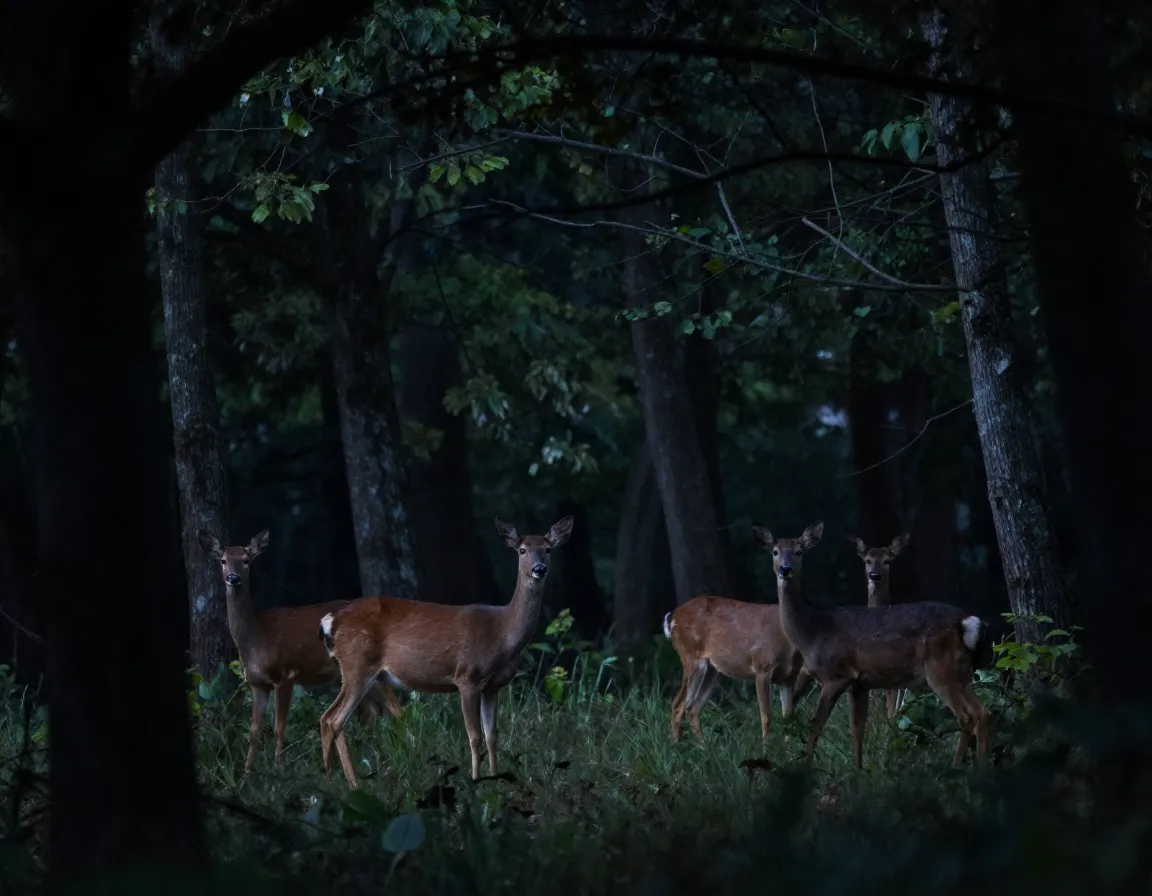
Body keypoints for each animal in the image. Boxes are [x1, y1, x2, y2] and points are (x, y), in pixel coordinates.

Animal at [198, 529, 402, 772]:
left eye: (246, 560)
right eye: (223, 560)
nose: (233, 578)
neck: (257, 636)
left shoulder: (286, 673)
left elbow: (279, 726)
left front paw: (279, 767)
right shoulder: (257, 683)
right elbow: (254, 730)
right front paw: (247, 773)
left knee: (394, 706)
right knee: (372, 711)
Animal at [318, 515, 574, 787]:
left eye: (548, 549)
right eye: (522, 550)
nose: (539, 569)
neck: (502, 633)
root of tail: (332, 621)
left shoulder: (493, 685)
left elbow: (492, 734)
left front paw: (495, 777)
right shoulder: (467, 677)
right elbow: (474, 735)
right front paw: (476, 780)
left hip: (359, 671)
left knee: (328, 718)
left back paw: (333, 778)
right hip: (357, 665)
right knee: (334, 719)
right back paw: (349, 783)